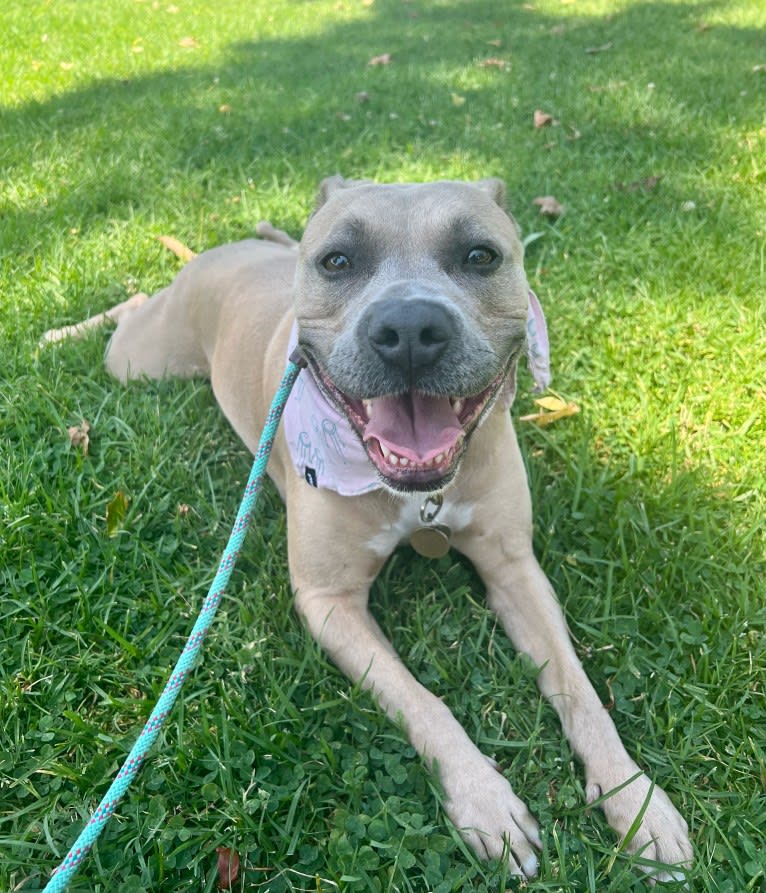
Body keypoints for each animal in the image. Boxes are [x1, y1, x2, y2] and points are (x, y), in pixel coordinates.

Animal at [81, 176, 692, 880]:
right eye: (338, 261)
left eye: (480, 256)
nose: (409, 329)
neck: (416, 497)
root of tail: (224, 251)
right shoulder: (329, 603)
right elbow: (422, 701)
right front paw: (486, 801)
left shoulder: (515, 569)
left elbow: (579, 689)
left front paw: (637, 801)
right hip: (140, 357)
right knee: (131, 305)